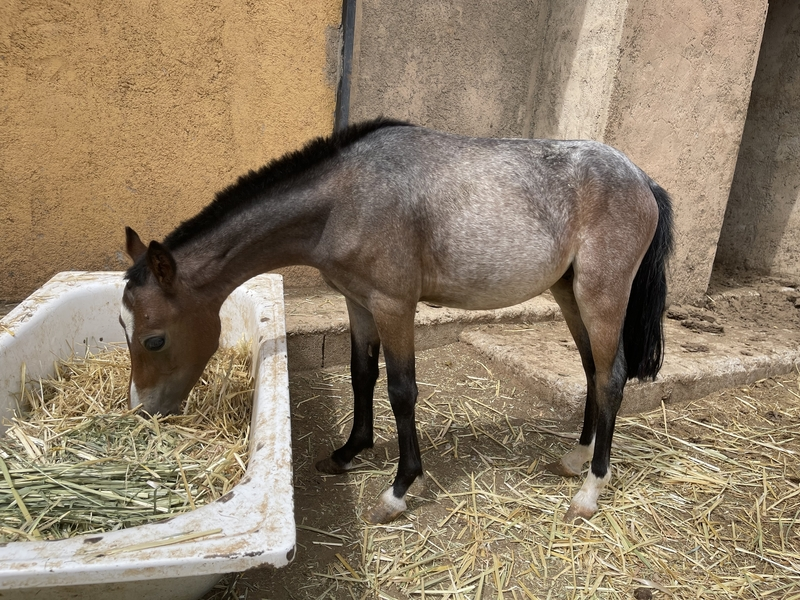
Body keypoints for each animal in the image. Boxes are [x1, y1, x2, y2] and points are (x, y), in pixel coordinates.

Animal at [121, 118, 674, 524]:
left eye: (153, 339)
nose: (144, 410)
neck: (346, 198)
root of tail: (642, 179)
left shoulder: (393, 306)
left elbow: (401, 390)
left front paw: (399, 489)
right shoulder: (359, 303)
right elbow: (361, 375)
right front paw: (348, 453)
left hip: (600, 297)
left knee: (613, 377)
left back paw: (590, 491)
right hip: (568, 295)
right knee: (592, 372)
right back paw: (576, 459)